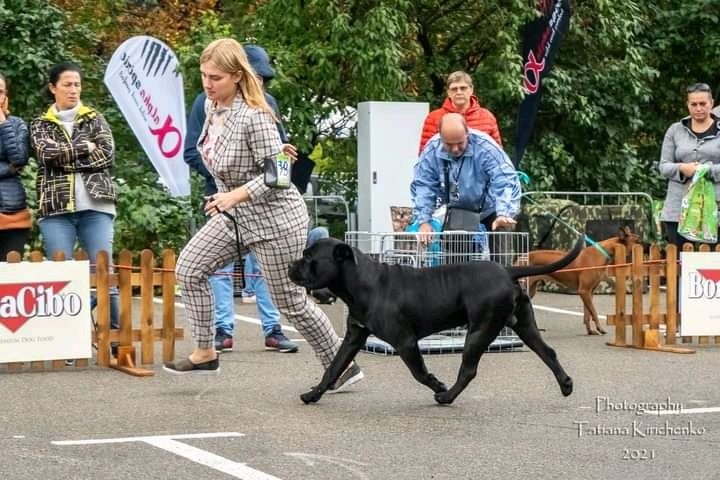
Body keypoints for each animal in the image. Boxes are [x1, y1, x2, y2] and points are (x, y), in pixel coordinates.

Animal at [286, 234, 584, 404]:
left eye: (309, 257)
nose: (290, 264)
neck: (361, 282)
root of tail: (507, 270)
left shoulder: (405, 342)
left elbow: (418, 372)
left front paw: (436, 383)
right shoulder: (353, 338)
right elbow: (333, 368)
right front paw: (313, 394)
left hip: (479, 331)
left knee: (468, 370)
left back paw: (446, 395)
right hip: (523, 325)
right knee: (548, 352)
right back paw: (566, 385)